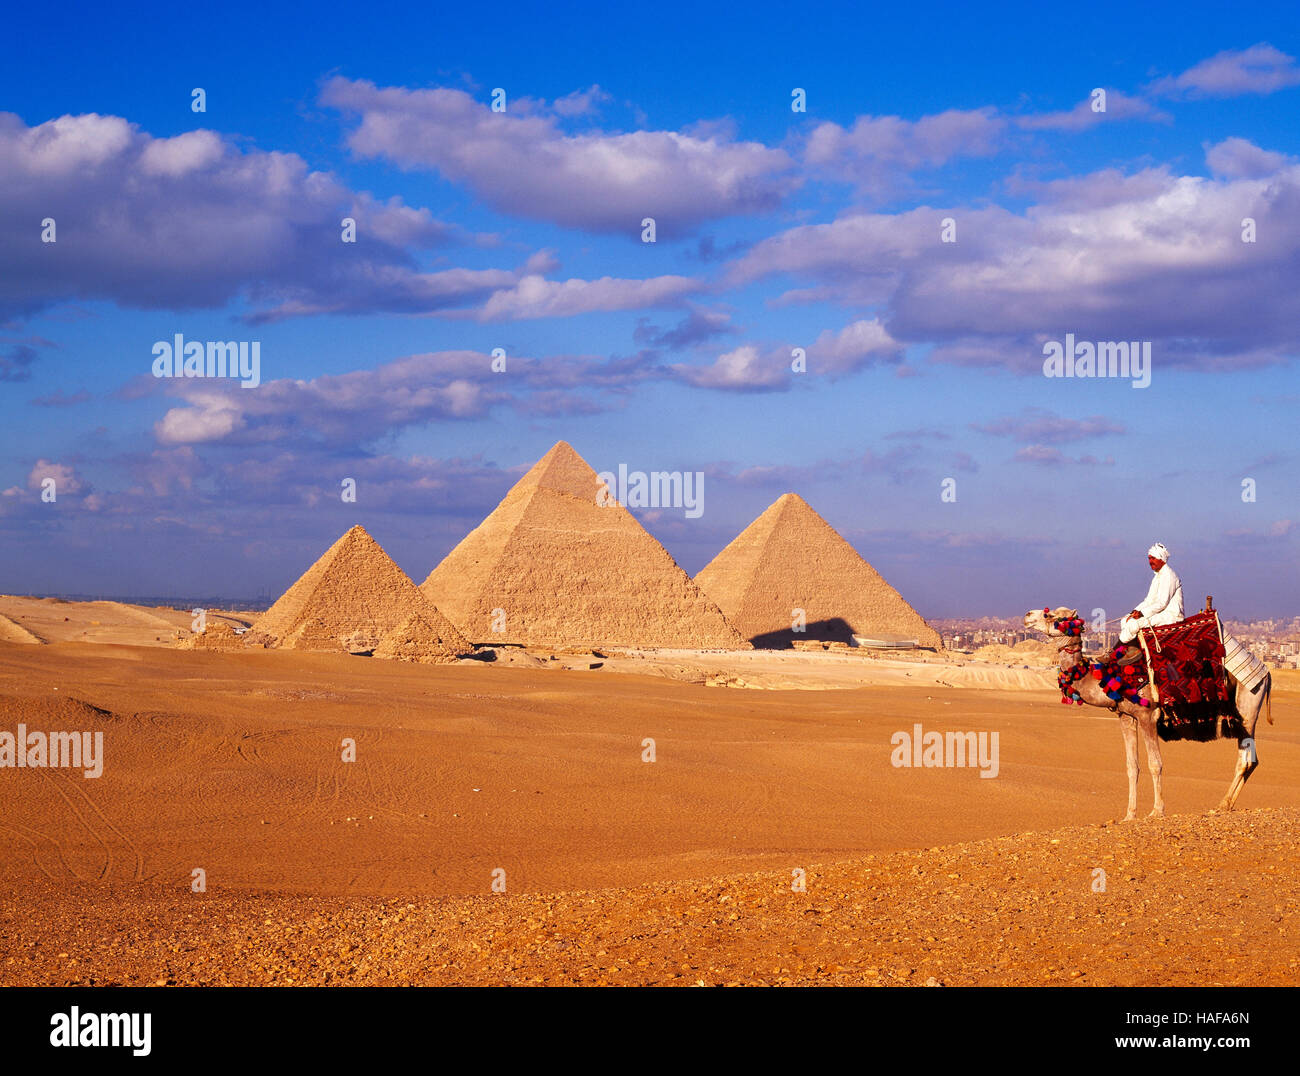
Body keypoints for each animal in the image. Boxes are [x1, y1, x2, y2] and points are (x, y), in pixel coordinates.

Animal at [1019, 605, 1274, 821]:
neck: (1109, 675)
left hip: (1248, 706)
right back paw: (1227, 804)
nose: (1028, 615)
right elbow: (1132, 766)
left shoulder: (1147, 716)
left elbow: (1155, 763)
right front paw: (1129, 815)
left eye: (1053, 616)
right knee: (1251, 759)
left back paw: (1222, 804)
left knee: (1244, 759)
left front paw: (1157, 811)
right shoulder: (1126, 717)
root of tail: (1266, 672)